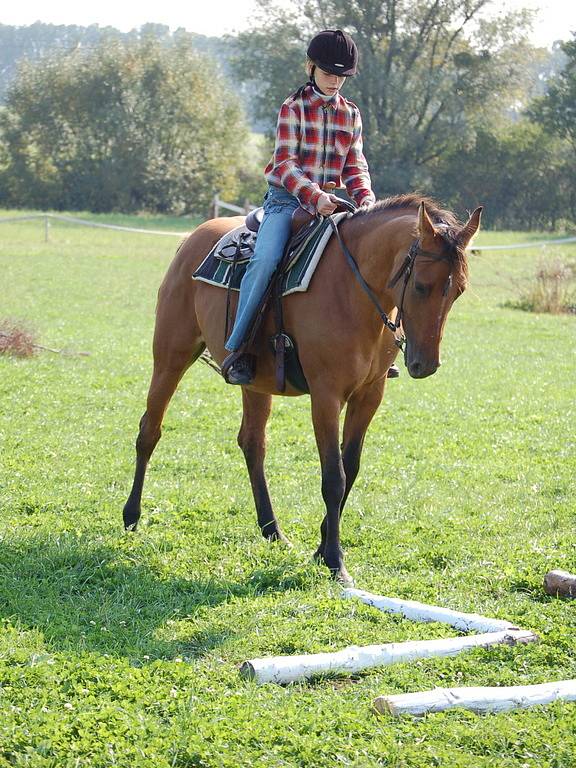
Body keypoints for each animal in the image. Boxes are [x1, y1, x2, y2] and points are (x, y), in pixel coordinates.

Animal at [124, 196, 484, 584]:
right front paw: (335, 561)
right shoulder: (326, 396)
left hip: (255, 382)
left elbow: (350, 467)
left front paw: (321, 549)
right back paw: (131, 516)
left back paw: (272, 529)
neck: (352, 291)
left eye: (459, 291)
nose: (425, 364)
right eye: (419, 285)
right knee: (149, 431)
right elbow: (333, 477)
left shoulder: (369, 395)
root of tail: (193, 238)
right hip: (170, 357)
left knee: (252, 443)